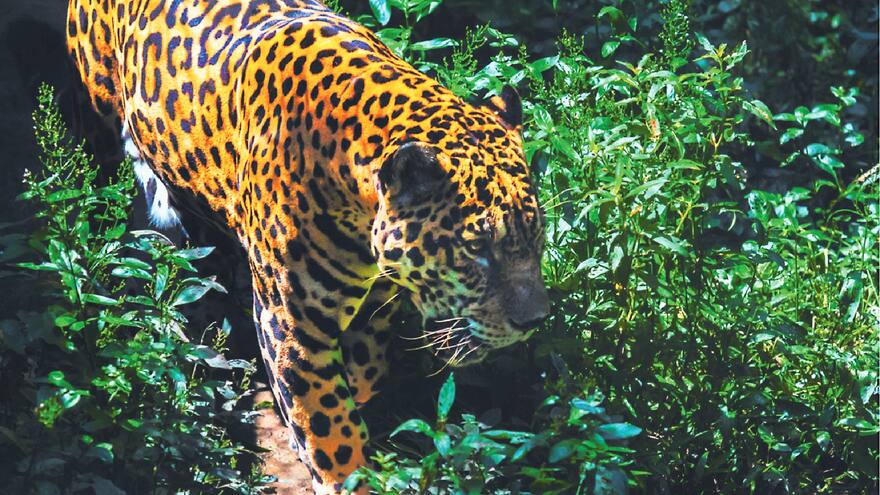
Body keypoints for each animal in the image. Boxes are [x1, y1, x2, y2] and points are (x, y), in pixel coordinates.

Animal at [66, 1, 549, 493]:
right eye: (476, 249)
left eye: (538, 234)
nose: (534, 322)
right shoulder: (290, 322)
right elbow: (328, 423)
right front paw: (344, 475)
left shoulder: (375, 302)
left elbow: (363, 373)